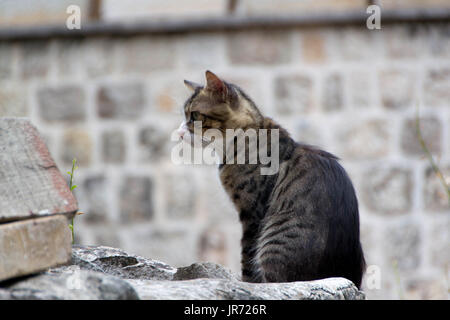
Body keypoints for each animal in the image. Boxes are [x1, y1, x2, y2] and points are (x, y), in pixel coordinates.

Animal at [177, 70, 366, 288]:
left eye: (195, 115)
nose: (179, 133)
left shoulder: (251, 213)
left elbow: (247, 257)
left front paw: (247, 284)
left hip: (273, 240)